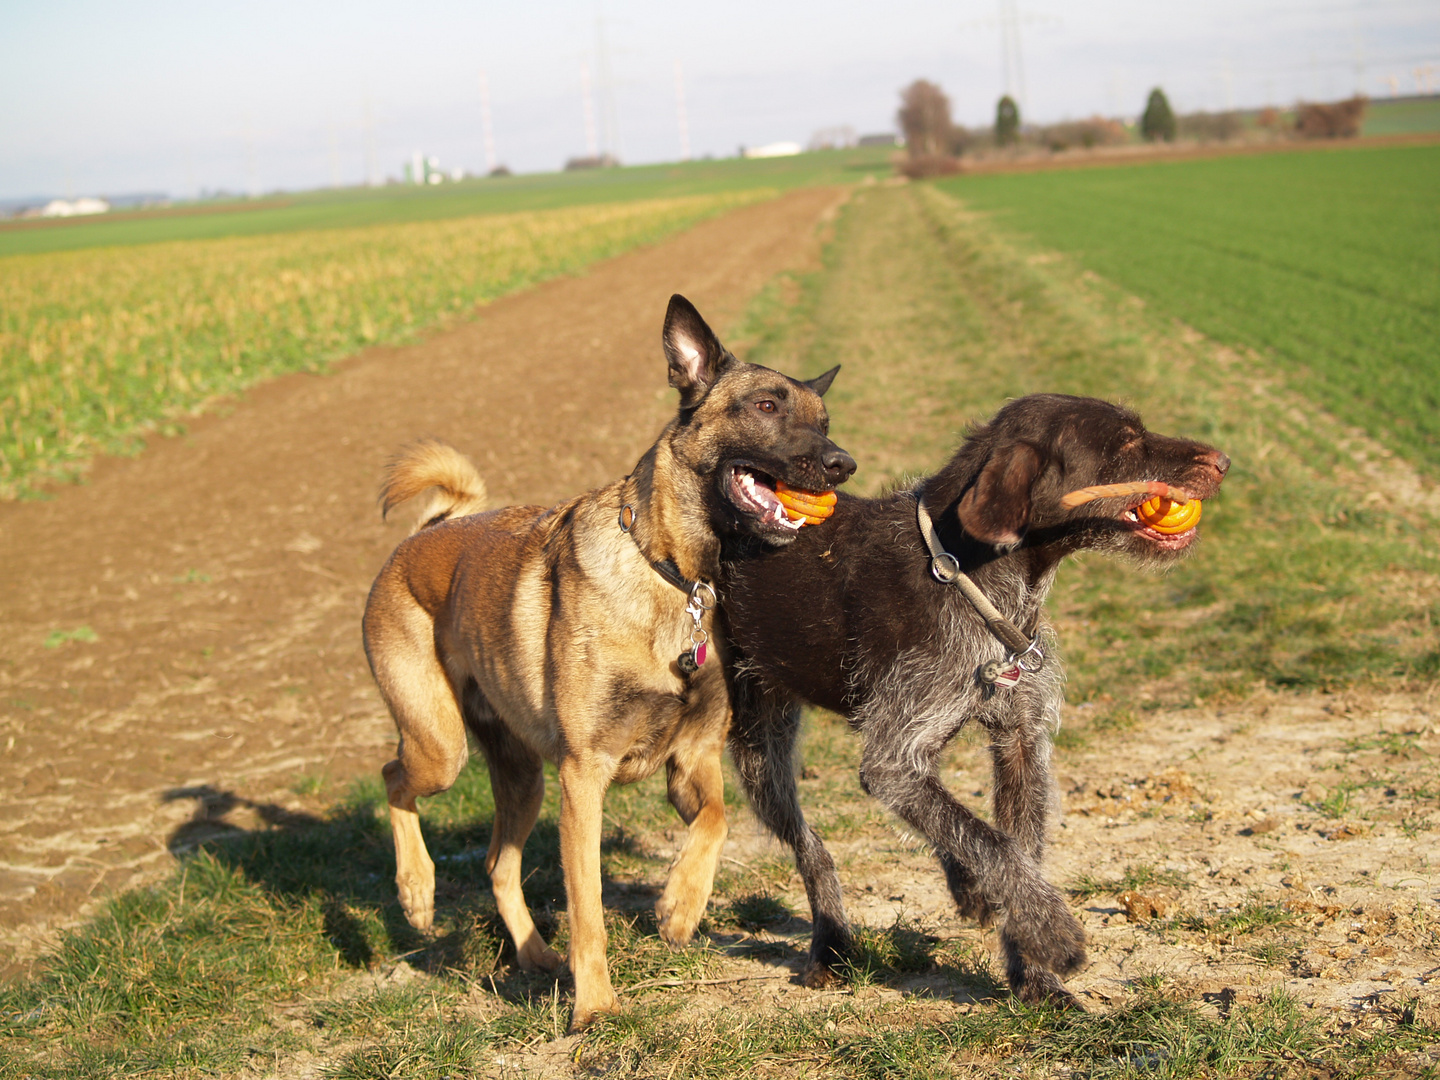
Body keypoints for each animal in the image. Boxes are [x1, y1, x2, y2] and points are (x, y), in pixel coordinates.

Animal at [362, 293, 852, 1031]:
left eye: (823, 420)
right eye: (766, 405)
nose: (842, 463)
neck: (677, 577)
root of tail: (427, 533)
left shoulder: (691, 761)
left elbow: (715, 822)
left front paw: (680, 909)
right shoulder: (582, 778)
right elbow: (588, 906)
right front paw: (593, 1007)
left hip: (521, 778)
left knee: (497, 864)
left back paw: (535, 956)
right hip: (440, 747)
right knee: (395, 779)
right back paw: (417, 892)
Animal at [720, 394, 1226, 1008]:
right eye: (1126, 444)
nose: (1224, 461)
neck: (971, 577)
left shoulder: (1020, 743)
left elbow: (1011, 847)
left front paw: (1034, 976)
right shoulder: (893, 757)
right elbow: (994, 845)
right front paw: (1053, 933)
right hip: (758, 752)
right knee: (812, 846)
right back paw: (830, 947)